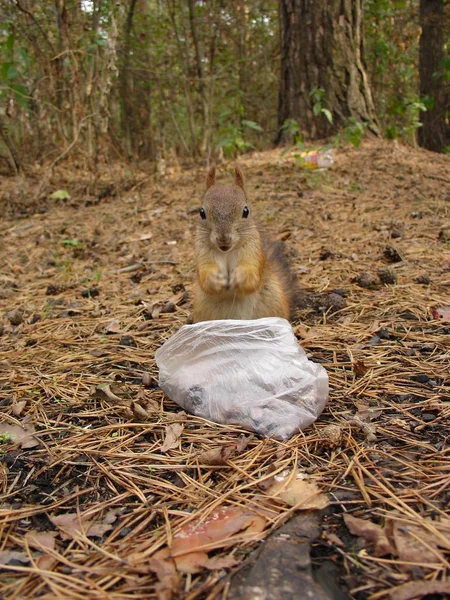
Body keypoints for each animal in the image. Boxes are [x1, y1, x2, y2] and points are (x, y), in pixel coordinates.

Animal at [192, 164, 296, 324]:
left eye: (246, 211)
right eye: (201, 212)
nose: (223, 239)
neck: (226, 252)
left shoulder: (253, 252)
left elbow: (251, 275)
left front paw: (240, 276)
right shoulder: (201, 253)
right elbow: (204, 275)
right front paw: (214, 278)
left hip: (273, 300)